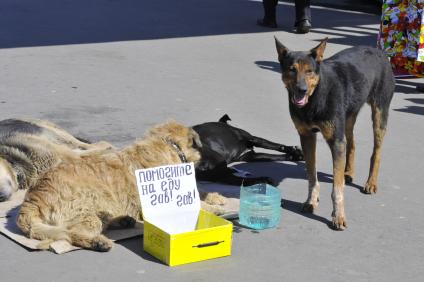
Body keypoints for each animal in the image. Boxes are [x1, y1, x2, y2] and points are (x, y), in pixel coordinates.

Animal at [18, 120, 227, 252]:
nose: (222, 160)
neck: (169, 146)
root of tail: (31, 200)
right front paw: (214, 208)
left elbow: (200, 192)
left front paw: (216, 198)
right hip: (88, 209)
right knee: (73, 234)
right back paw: (98, 242)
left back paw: (123, 220)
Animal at [274, 37, 394, 230]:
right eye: (292, 69)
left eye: (309, 71)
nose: (301, 90)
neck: (315, 98)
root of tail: (378, 51)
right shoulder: (307, 136)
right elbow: (312, 176)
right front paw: (311, 200)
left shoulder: (335, 140)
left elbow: (337, 188)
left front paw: (338, 216)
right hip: (348, 117)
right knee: (351, 143)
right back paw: (348, 172)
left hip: (379, 113)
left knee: (376, 152)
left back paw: (370, 182)